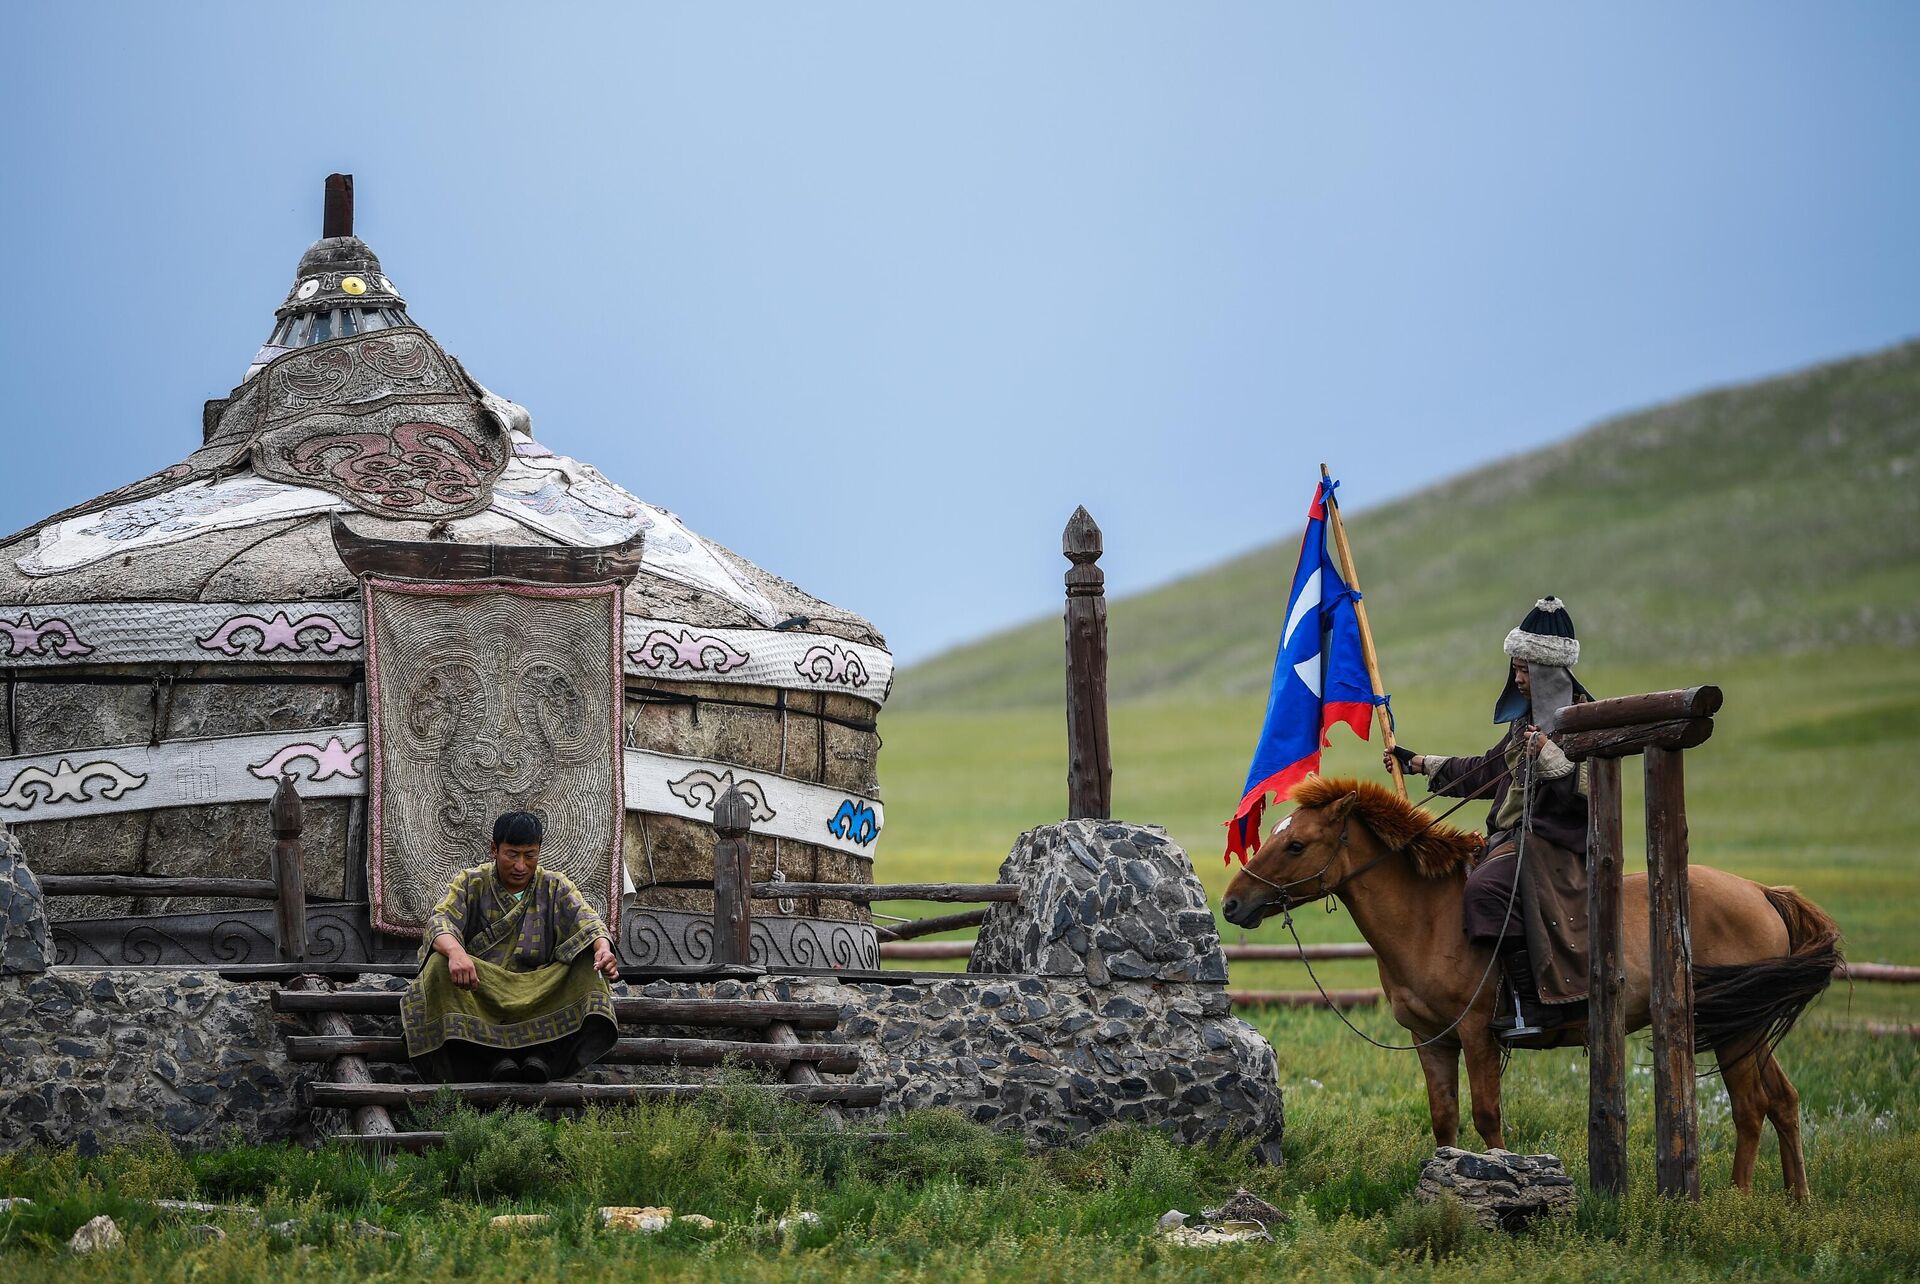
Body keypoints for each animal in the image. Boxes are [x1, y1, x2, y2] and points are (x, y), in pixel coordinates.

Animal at [1221, 771, 1835, 1205]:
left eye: (1296, 845)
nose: (1232, 904)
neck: (1427, 916)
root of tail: (1762, 893)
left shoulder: (1476, 1033)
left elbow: (1487, 1115)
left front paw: (1503, 1183)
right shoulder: (1431, 1039)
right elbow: (1444, 1116)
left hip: (1735, 1031)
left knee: (1751, 1107)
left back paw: (1737, 1200)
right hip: (1745, 1024)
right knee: (1783, 1100)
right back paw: (1799, 1201)